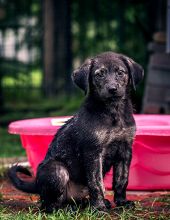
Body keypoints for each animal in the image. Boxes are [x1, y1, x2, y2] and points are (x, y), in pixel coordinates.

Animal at [7, 52, 143, 213]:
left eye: (120, 72)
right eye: (99, 75)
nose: (112, 89)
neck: (113, 111)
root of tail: (37, 184)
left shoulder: (125, 150)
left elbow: (122, 180)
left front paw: (122, 203)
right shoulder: (93, 152)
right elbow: (97, 183)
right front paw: (99, 208)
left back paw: (89, 204)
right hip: (57, 170)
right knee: (48, 205)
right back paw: (67, 209)